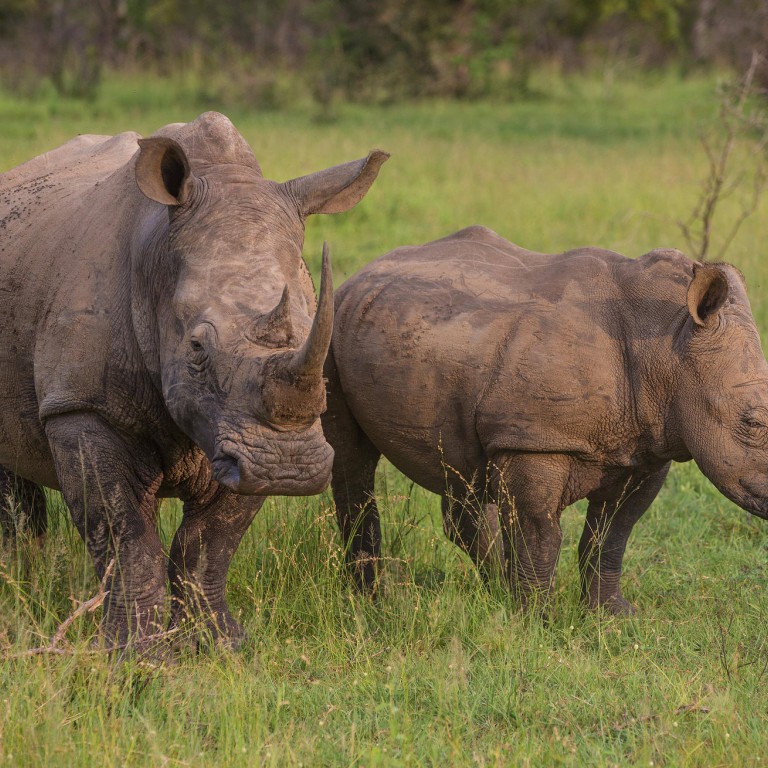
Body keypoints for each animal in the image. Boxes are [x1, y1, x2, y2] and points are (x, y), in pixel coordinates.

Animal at [0, 111, 388, 644]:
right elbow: (125, 538)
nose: (288, 467)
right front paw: (134, 650)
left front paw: (219, 644)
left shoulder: (240, 438)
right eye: (197, 349)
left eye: (321, 338)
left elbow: (209, 544)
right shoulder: (82, 404)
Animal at [324, 226, 768, 612]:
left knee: (463, 467)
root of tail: (362, 271)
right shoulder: (535, 439)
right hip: (330, 330)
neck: (668, 341)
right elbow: (540, 534)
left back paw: (494, 590)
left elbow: (611, 535)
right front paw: (537, 619)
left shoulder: (650, 444)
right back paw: (369, 599)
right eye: (754, 423)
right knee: (350, 460)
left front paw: (612, 614)